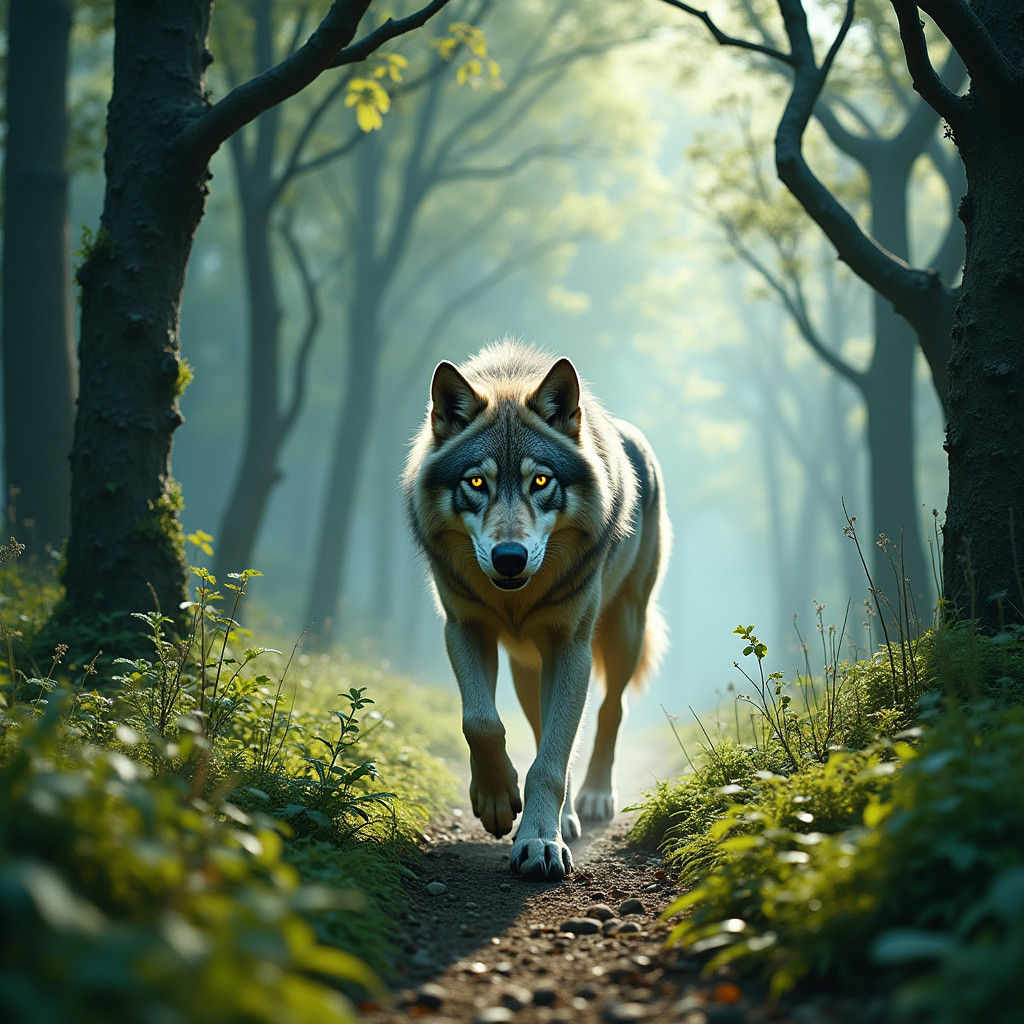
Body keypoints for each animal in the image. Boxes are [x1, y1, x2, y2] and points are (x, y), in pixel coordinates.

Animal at [404, 341, 670, 881]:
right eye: (476, 482)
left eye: (540, 480)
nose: (510, 557)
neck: (515, 599)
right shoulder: (463, 627)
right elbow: (481, 722)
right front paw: (496, 799)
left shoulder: (572, 648)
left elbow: (551, 761)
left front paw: (540, 843)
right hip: (528, 665)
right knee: (540, 725)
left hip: (623, 629)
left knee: (608, 711)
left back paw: (590, 800)